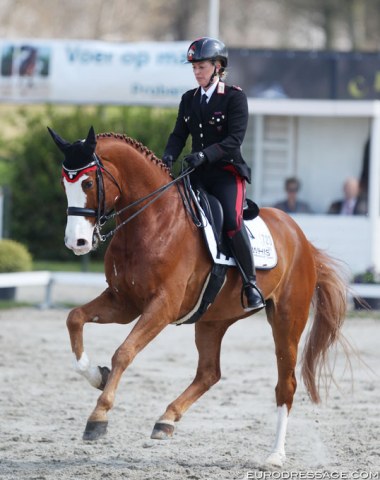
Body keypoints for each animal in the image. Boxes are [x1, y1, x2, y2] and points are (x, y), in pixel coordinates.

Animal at [49, 127, 348, 468]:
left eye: (87, 183)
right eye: (65, 183)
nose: (77, 243)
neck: (153, 221)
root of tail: (302, 240)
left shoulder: (161, 307)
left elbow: (124, 352)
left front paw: (98, 417)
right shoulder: (123, 302)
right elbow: (74, 318)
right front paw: (96, 375)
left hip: (287, 320)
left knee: (285, 384)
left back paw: (275, 455)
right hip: (212, 321)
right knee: (209, 373)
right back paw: (166, 419)